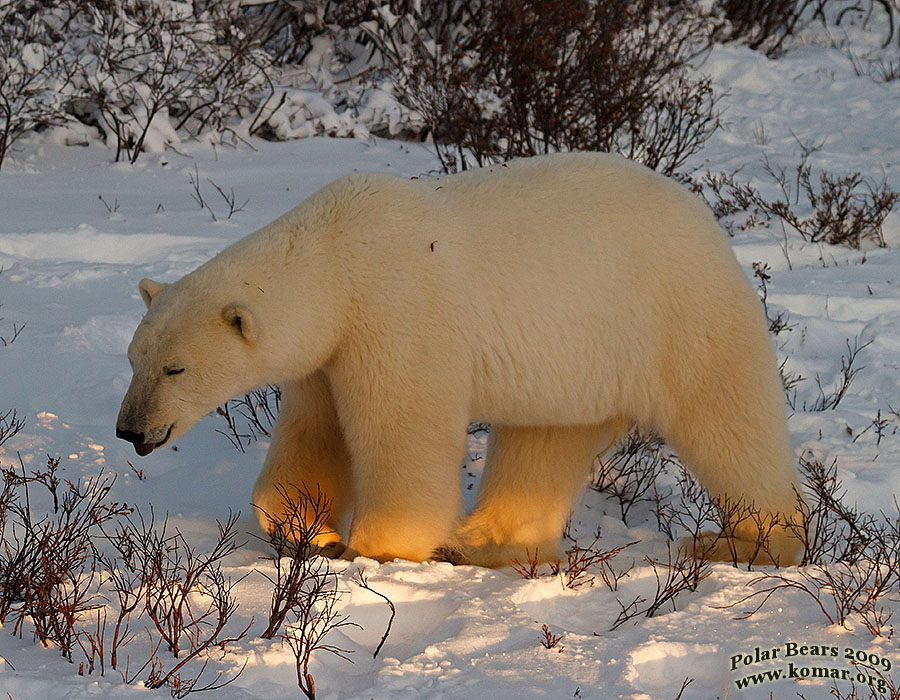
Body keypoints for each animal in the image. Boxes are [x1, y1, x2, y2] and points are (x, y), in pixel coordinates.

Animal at [118, 150, 800, 568]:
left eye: (175, 368)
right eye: (134, 359)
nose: (130, 430)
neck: (336, 256)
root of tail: (708, 222)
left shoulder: (396, 318)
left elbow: (403, 434)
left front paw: (378, 549)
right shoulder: (328, 353)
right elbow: (311, 437)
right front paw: (308, 532)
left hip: (675, 314)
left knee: (729, 422)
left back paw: (743, 542)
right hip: (579, 359)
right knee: (545, 441)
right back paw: (486, 542)